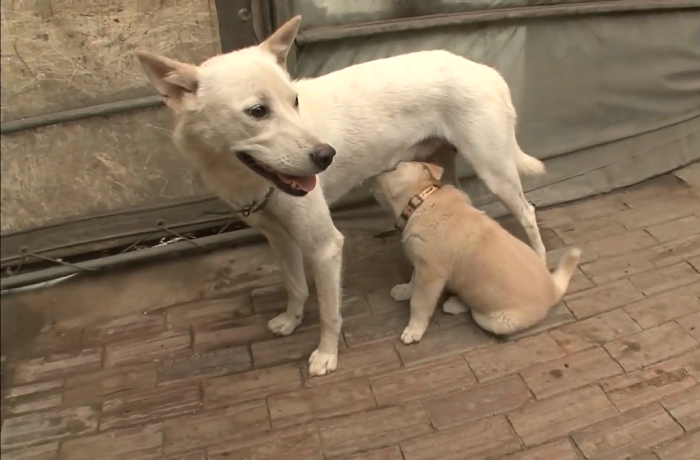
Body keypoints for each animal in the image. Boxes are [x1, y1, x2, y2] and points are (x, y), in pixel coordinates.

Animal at [135, 16, 548, 376]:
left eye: (295, 100)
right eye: (257, 111)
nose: (326, 155)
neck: (243, 175)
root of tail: (486, 70)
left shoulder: (326, 246)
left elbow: (329, 311)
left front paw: (326, 356)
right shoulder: (279, 238)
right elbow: (295, 286)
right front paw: (290, 321)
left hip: (495, 170)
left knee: (528, 212)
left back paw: (541, 263)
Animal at [374, 162, 584, 342]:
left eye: (393, 167)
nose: (374, 173)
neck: (421, 201)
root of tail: (553, 290)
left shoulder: (431, 273)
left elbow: (419, 304)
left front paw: (413, 330)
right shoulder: (421, 262)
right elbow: (413, 280)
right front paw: (405, 290)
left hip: (497, 320)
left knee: (476, 311)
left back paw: (457, 304)